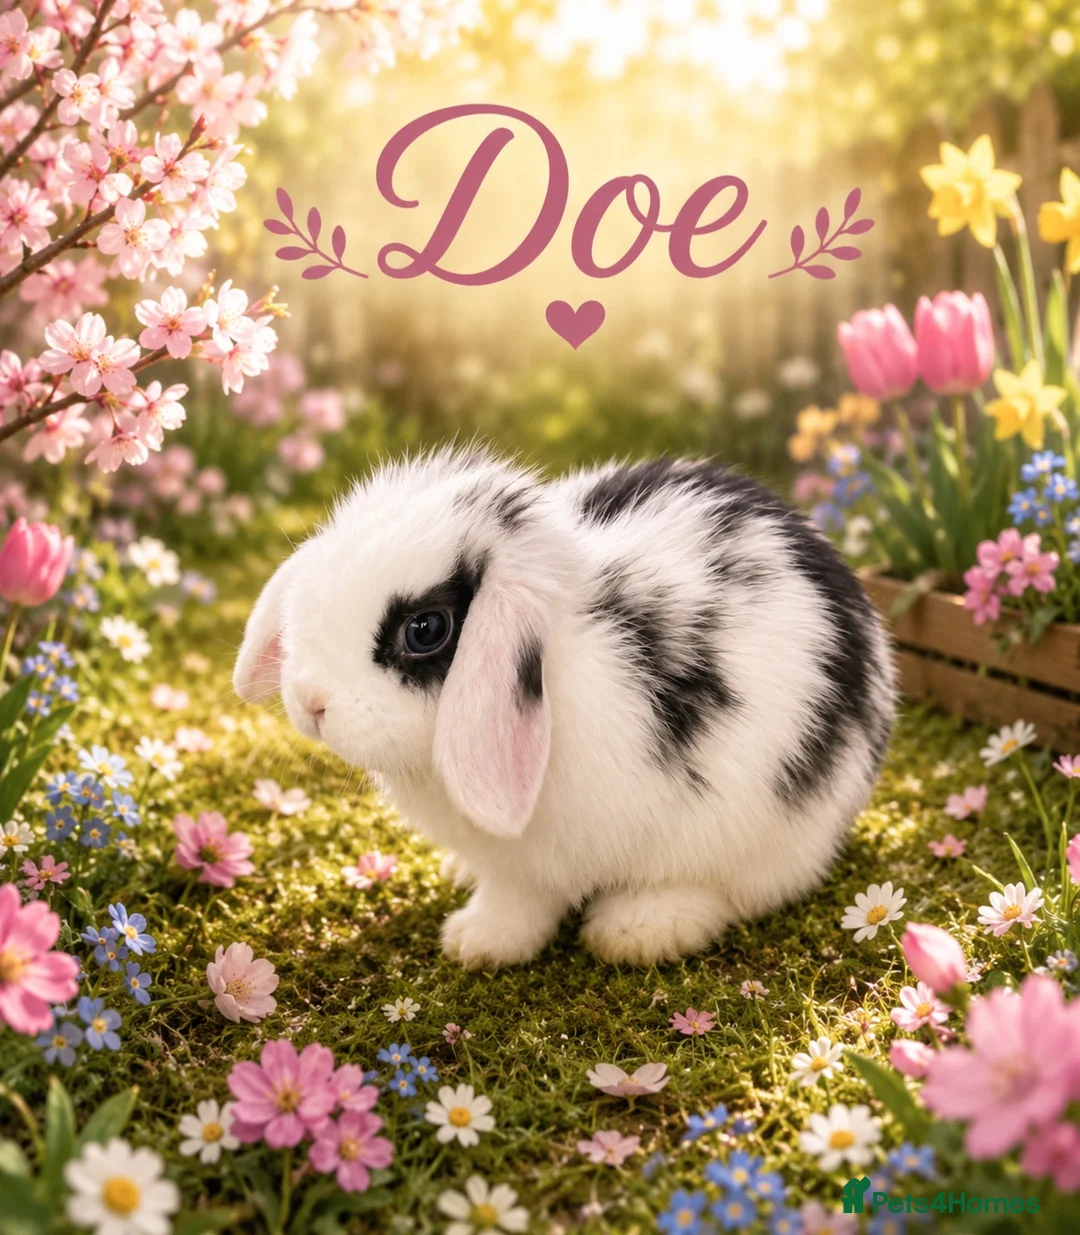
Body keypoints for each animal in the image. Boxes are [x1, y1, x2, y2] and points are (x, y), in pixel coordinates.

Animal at [234, 448, 895, 968]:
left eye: (425, 629)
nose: (311, 701)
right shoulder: (519, 867)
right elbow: (515, 898)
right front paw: (480, 942)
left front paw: (618, 934)